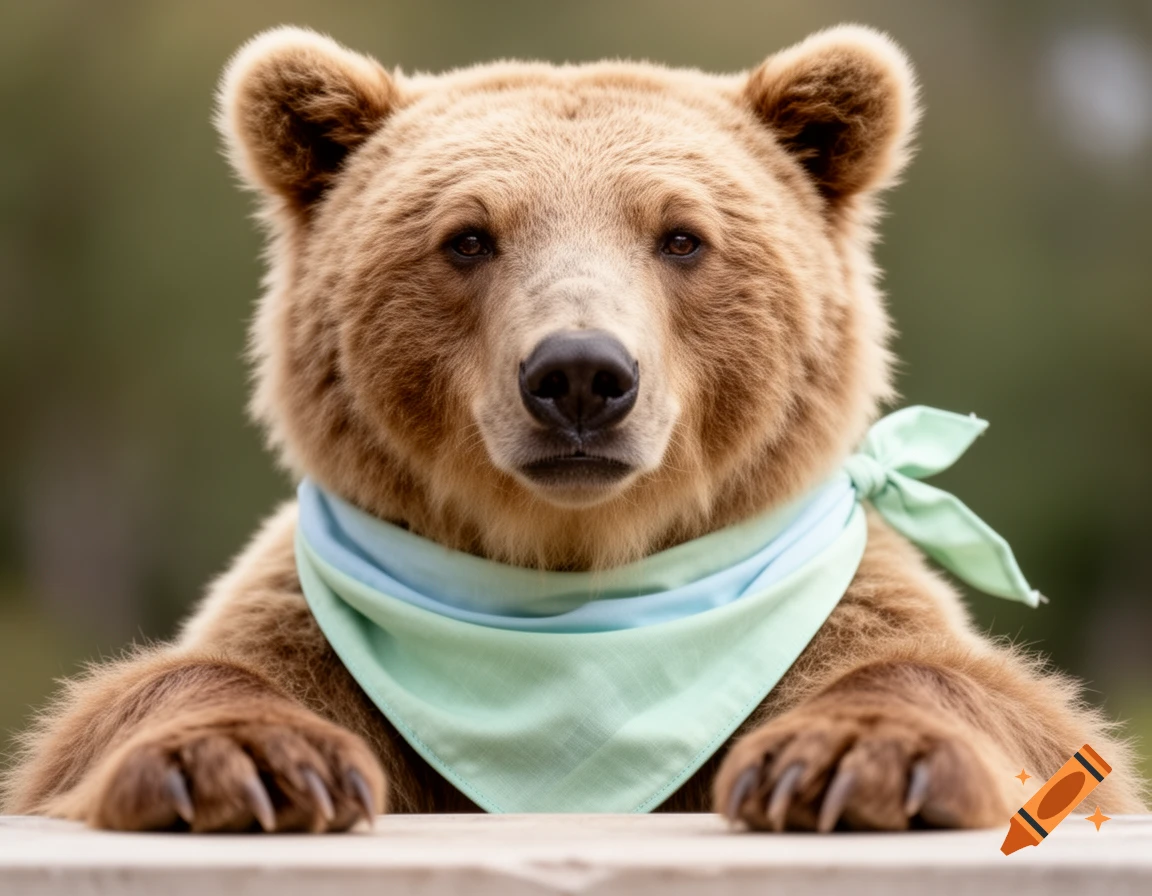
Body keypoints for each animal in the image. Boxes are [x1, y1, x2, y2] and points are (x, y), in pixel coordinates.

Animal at [2, 23, 1145, 833]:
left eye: (681, 236)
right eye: (468, 237)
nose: (582, 375)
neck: (575, 579)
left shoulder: (826, 624)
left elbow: (972, 691)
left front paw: (856, 760)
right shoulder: (316, 643)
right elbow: (166, 692)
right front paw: (240, 761)